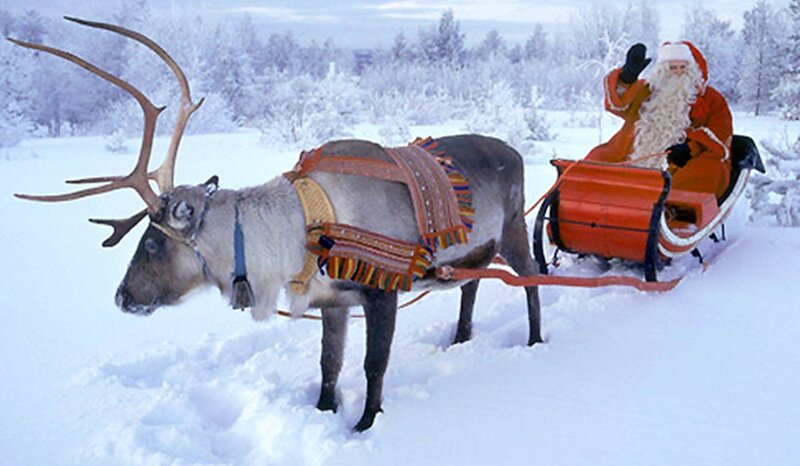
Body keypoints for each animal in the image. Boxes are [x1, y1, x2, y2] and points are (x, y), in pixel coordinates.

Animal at [11, 17, 542, 432]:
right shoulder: (332, 300)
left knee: (532, 277)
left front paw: (366, 424)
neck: (299, 231)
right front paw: (324, 409)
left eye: (153, 245)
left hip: (514, 231)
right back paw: (461, 338)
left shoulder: (381, 291)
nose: (122, 297)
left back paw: (535, 340)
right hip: (476, 248)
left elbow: (373, 365)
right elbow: (329, 363)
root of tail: (514, 149)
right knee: (471, 284)